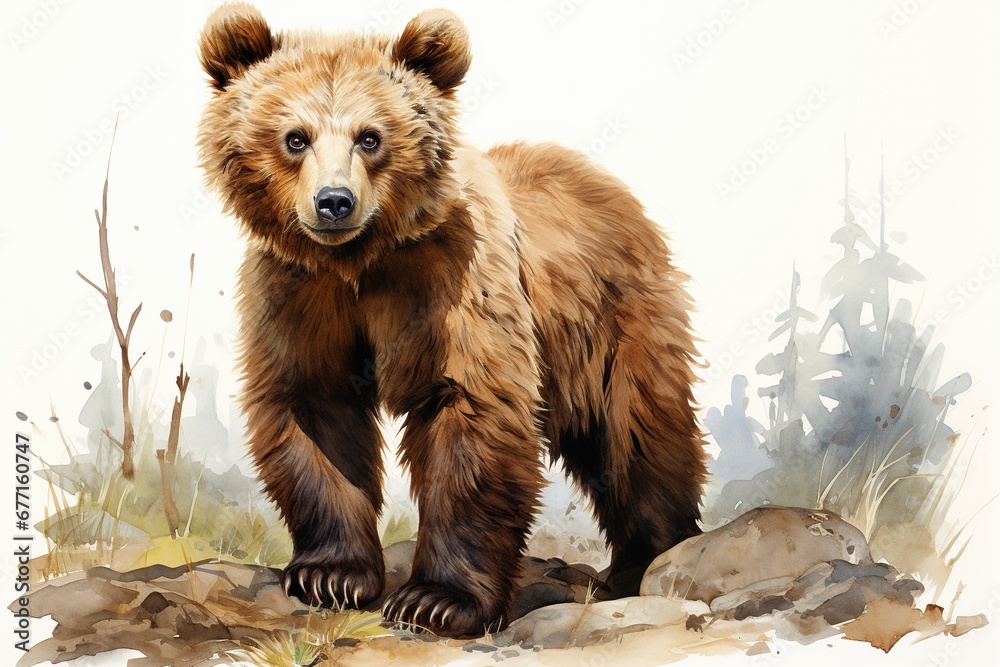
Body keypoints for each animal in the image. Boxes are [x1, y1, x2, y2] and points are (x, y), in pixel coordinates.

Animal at [197, 3, 707, 638]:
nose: (334, 201)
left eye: (370, 136)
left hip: (613, 320)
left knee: (636, 432)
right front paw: (331, 575)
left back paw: (648, 559)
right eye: (295, 138)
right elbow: (314, 408)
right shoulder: (300, 296)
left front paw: (435, 600)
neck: (360, 262)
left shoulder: (455, 283)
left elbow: (472, 410)